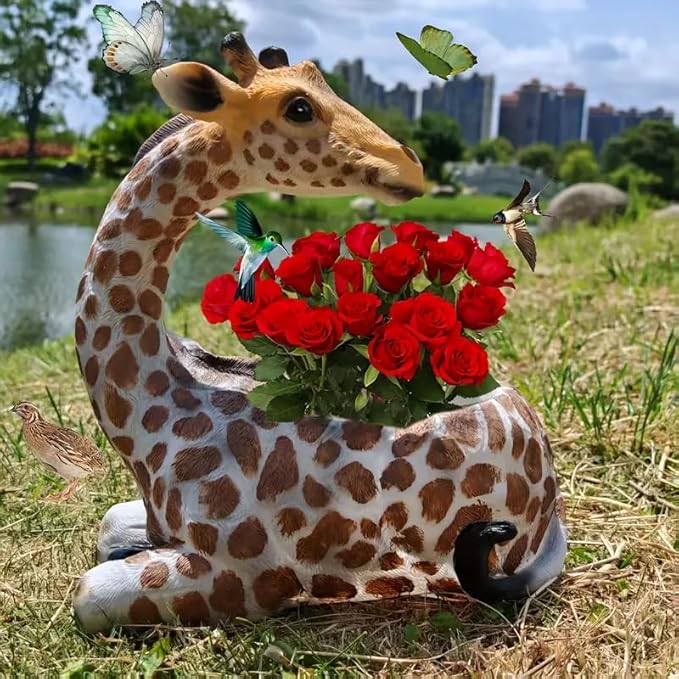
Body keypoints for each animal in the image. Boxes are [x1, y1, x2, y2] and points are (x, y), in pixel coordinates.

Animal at [72, 34, 567, 633]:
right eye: (299, 107)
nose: (411, 166)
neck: (151, 419)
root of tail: (551, 505)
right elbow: (107, 527)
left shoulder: (243, 577)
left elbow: (87, 592)